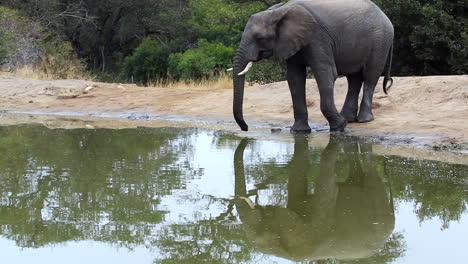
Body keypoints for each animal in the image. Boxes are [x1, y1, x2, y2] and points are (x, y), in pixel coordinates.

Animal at [232, 0, 394, 132]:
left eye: (260, 38)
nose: (245, 128)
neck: (279, 11)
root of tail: (385, 16)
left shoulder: (317, 37)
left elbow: (325, 73)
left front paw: (339, 127)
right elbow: (295, 77)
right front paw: (299, 131)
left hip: (380, 41)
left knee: (370, 76)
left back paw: (364, 120)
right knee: (354, 78)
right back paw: (349, 119)